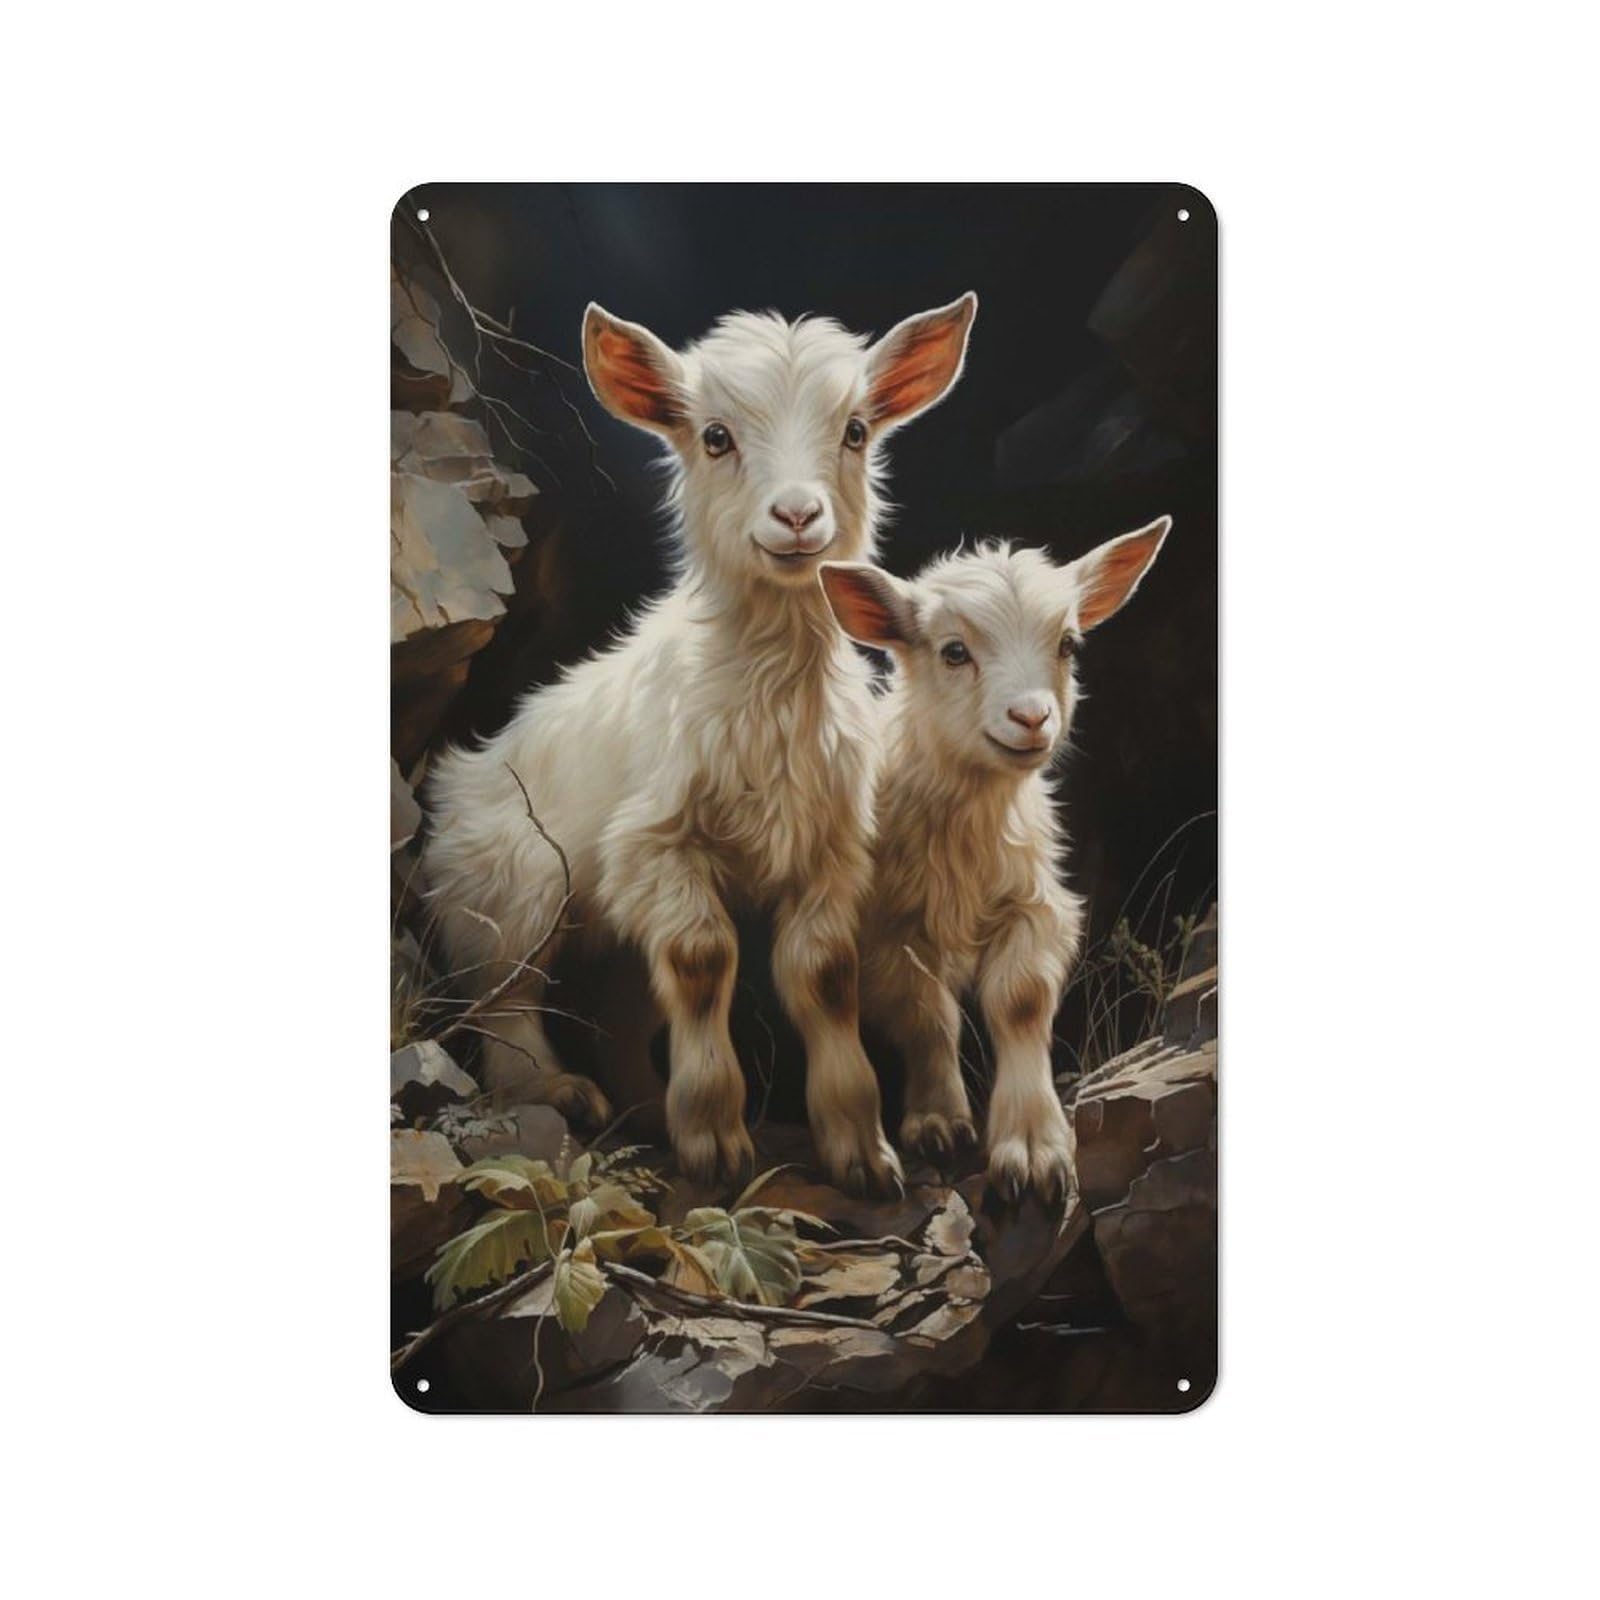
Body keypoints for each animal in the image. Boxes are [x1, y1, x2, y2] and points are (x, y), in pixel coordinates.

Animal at [423, 293, 978, 1196]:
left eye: (857, 430)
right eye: (715, 437)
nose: (797, 516)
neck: (767, 693)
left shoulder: (830, 851)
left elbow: (824, 975)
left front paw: (860, 1149)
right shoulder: (657, 845)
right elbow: (702, 961)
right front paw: (717, 1140)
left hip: (602, 931)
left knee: (616, 1010)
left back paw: (646, 1109)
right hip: (512, 886)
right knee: (504, 998)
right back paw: (561, 1093)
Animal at [818, 517, 1171, 1202]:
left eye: (1067, 644)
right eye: (954, 652)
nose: (1031, 717)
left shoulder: (1036, 904)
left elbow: (1020, 1000)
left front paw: (1033, 1149)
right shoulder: (888, 927)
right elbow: (926, 1013)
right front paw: (936, 1120)